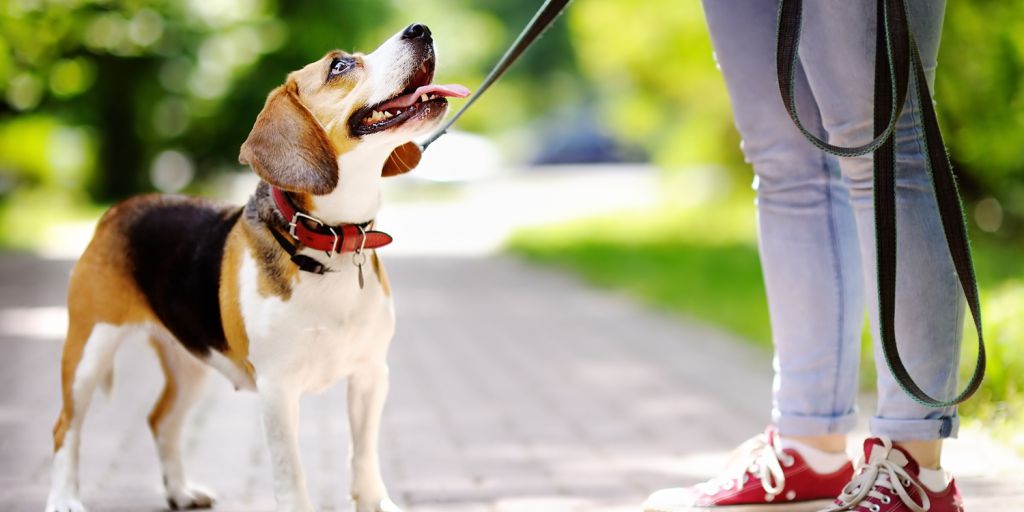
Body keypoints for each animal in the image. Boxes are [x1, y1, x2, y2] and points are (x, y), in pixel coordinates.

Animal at [44, 23, 468, 512]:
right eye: (340, 65)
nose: (421, 29)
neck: (330, 242)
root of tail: (119, 209)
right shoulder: (277, 390)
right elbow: (292, 475)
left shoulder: (370, 375)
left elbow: (363, 459)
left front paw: (375, 502)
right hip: (88, 351)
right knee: (65, 427)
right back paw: (64, 497)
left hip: (190, 361)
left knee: (161, 421)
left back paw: (180, 491)